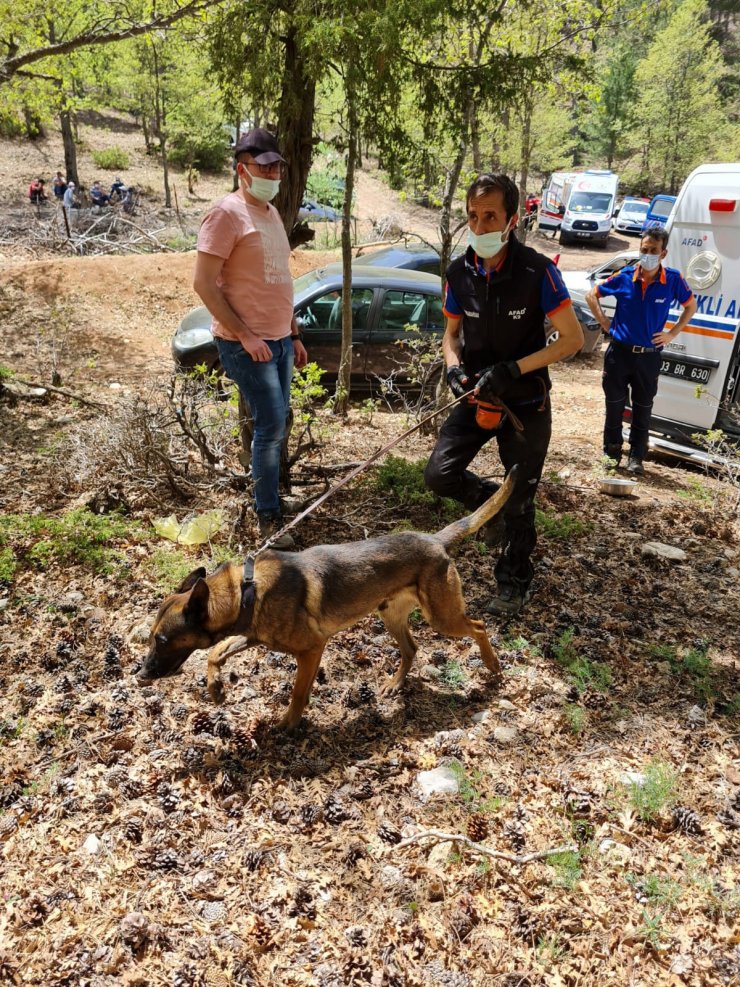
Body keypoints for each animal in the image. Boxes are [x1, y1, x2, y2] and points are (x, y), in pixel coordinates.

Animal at [137, 470, 516, 732]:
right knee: (412, 648)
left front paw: (288, 724)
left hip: (442, 617)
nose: (139, 674)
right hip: (391, 616)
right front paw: (215, 687)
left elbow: (297, 692)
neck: (246, 590)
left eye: (162, 640)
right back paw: (395, 684)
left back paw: (493, 665)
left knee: (479, 626)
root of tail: (436, 540)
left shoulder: (311, 649)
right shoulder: (252, 635)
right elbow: (216, 651)